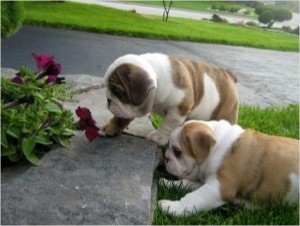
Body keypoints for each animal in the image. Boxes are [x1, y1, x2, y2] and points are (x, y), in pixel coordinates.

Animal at [102, 52, 238, 145]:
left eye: (119, 92)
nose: (108, 100)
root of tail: (229, 74)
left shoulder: (179, 108)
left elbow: (168, 123)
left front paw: (158, 136)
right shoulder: (125, 110)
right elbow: (120, 117)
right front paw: (111, 127)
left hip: (226, 113)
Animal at [158, 120, 298, 215]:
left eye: (177, 151)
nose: (166, 157)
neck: (217, 147)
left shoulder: (218, 188)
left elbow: (192, 198)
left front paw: (171, 207)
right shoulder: (208, 182)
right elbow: (185, 183)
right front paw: (167, 182)